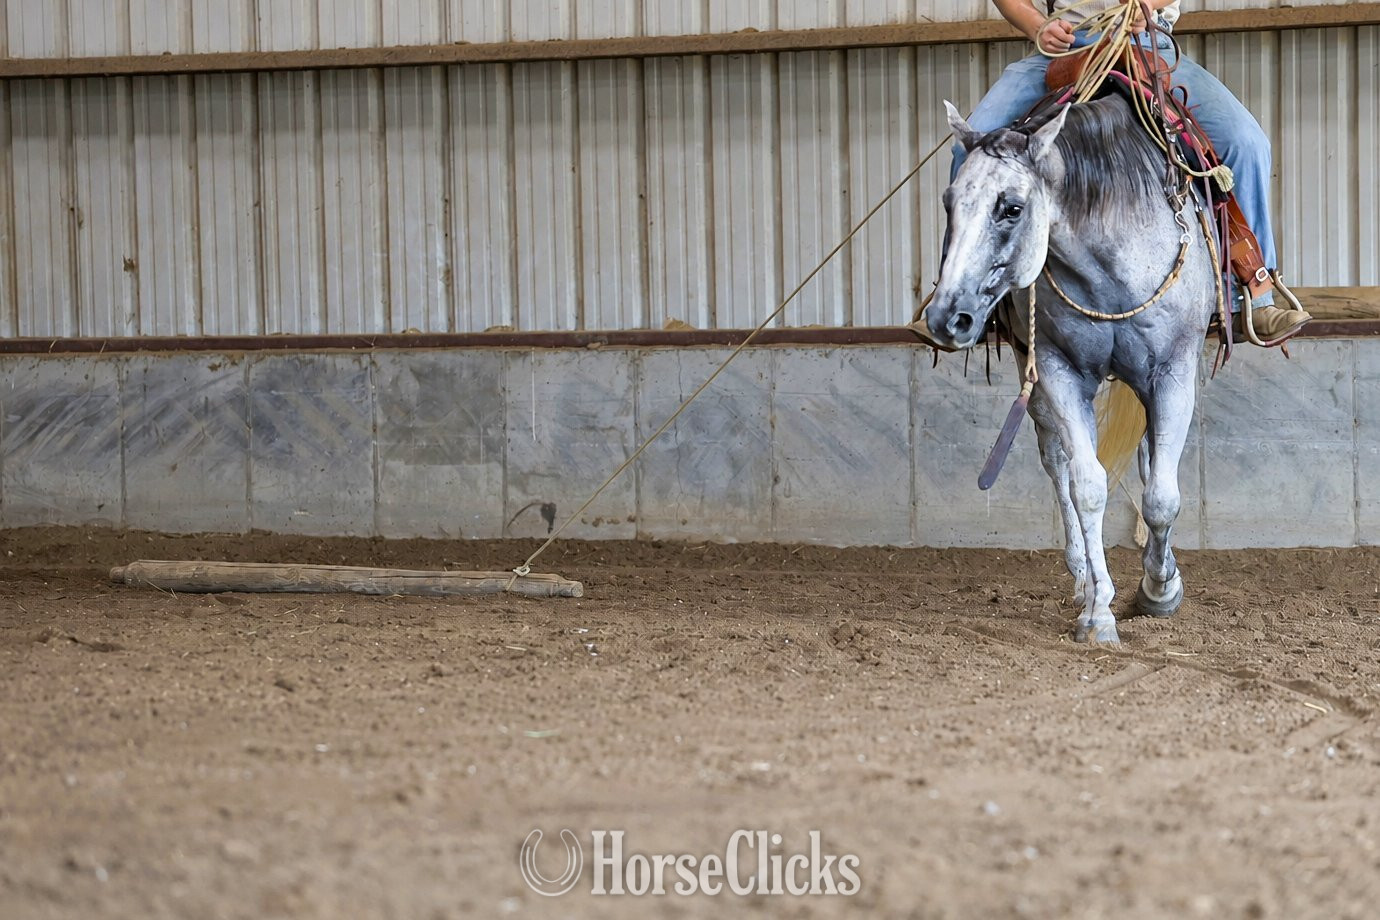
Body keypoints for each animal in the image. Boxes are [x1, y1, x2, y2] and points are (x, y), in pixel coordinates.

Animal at [920, 94, 1218, 646]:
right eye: (949, 203)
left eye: (1012, 207)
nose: (947, 316)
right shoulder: (1058, 371)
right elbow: (1087, 486)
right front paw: (1099, 613)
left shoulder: (1173, 371)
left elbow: (1161, 496)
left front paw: (1160, 588)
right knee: (1058, 462)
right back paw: (1083, 581)